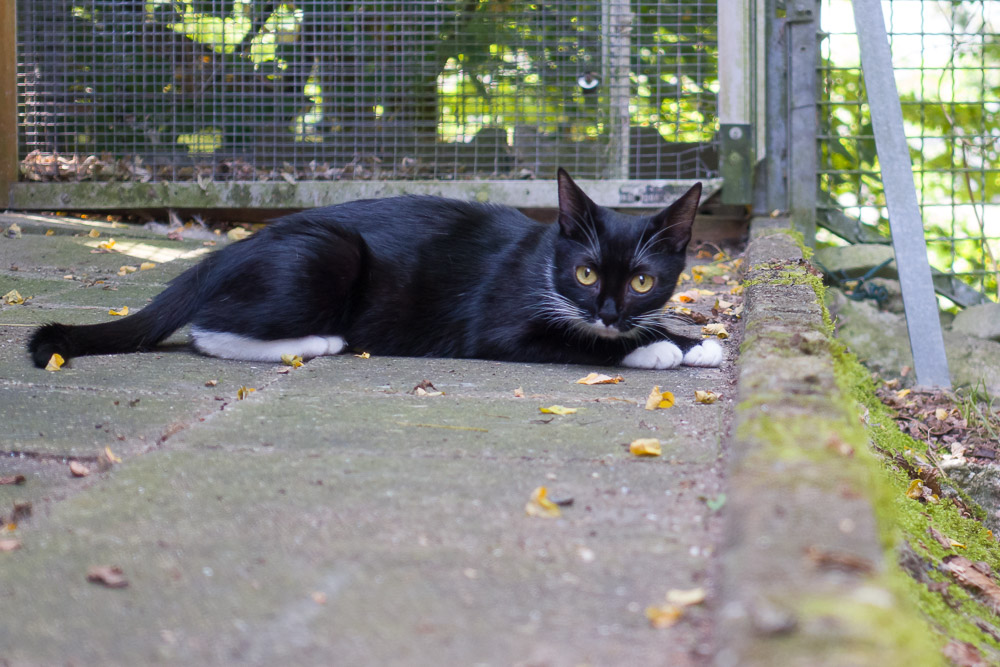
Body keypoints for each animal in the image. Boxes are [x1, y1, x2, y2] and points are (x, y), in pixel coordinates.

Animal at [27, 170, 724, 370]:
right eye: (584, 274)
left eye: (642, 281)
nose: (606, 310)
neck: (544, 262)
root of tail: (221, 254)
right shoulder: (501, 325)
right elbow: (574, 341)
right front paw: (654, 349)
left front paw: (693, 342)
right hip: (328, 253)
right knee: (208, 329)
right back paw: (318, 342)